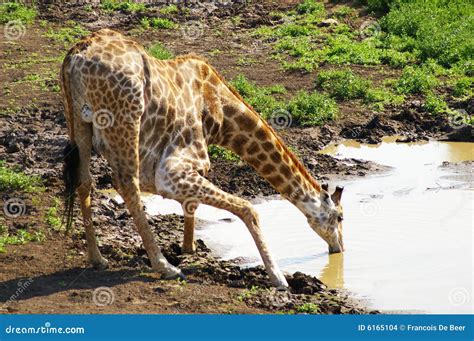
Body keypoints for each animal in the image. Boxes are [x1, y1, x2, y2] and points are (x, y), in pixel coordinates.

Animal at [62, 28, 344, 286]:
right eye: (340, 217)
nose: (339, 247)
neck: (220, 112)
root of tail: (74, 58)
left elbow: (192, 204)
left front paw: (189, 248)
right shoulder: (172, 168)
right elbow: (248, 208)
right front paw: (277, 276)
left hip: (78, 122)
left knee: (84, 181)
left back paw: (97, 258)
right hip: (124, 120)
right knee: (126, 183)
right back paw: (165, 267)